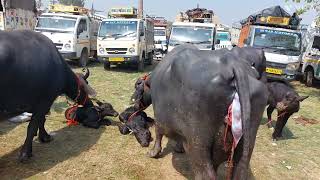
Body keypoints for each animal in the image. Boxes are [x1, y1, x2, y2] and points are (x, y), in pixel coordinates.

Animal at [0, 29, 96, 162]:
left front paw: (44, 137)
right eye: (86, 85)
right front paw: (26, 153)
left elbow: (41, 121)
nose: (90, 103)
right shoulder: (45, 101)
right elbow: (33, 126)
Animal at [131, 44, 268, 179]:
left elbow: (158, 133)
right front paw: (178, 148)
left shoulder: (160, 118)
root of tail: (234, 65)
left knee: (205, 173)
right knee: (240, 170)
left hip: (198, 143)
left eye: (137, 85)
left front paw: (153, 153)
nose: (134, 102)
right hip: (246, 145)